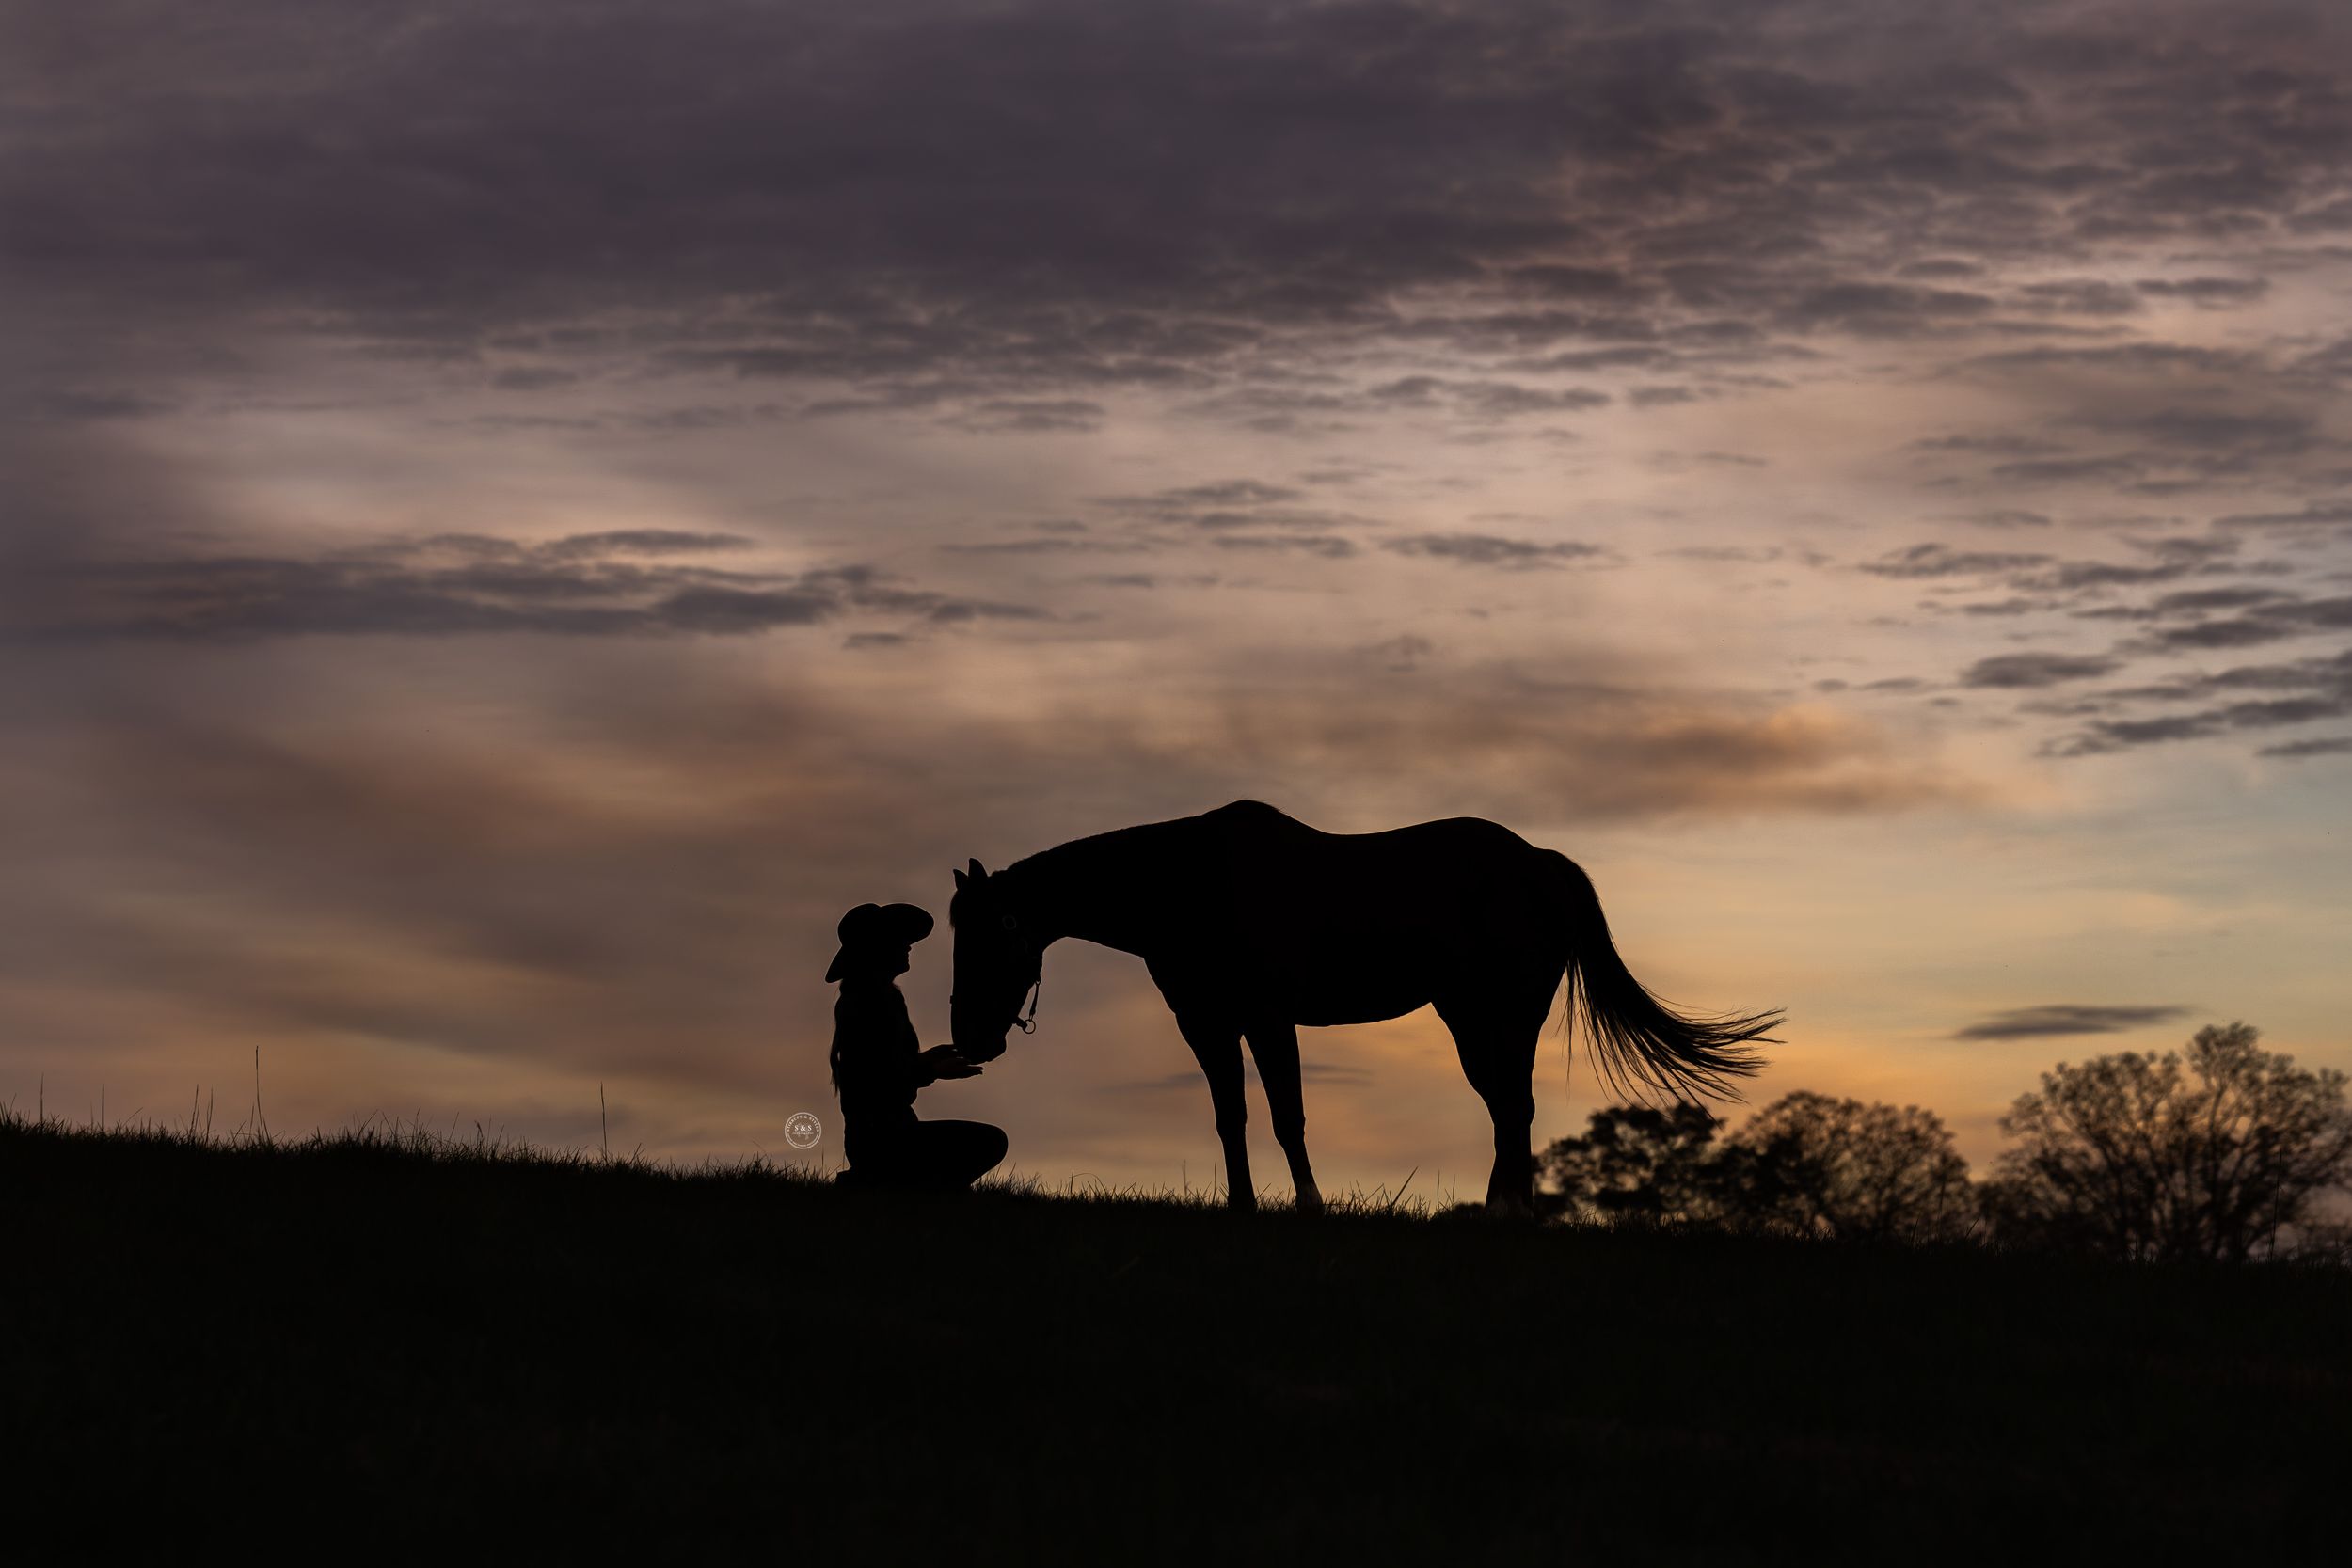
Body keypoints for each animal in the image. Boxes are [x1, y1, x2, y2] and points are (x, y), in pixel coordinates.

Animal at [947, 800, 1780, 1215]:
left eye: (988, 935)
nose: (970, 1039)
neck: (1189, 884)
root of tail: (1541, 863)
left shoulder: (1266, 1016)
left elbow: (1287, 1114)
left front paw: (1310, 1205)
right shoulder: (1205, 1022)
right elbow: (1230, 1115)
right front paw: (1241, 1206)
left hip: (1502, 1016)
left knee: (1513, 1106)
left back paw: (1508, 1215)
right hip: (1476, 1019)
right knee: (1508, 1107)